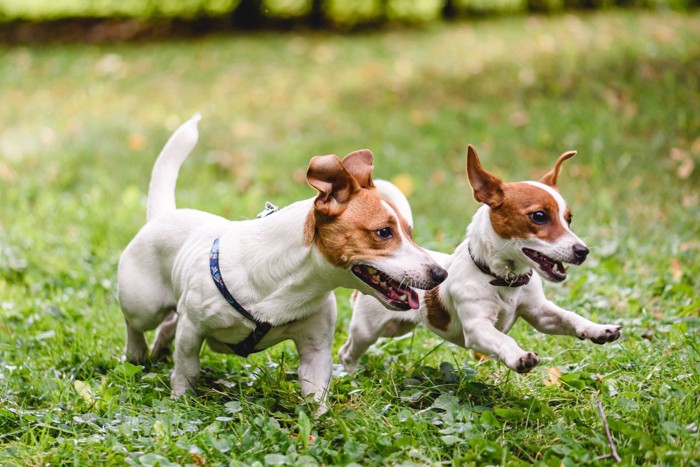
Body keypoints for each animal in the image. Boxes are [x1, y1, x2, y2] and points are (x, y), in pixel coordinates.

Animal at [117, 114, 446, 410]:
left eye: (409, 231)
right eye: (384, 232)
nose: (441, 274)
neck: (294, 284)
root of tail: (164, 214)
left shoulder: (315, 350)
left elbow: (316, 396)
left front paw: (318, 423)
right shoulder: (193, 328)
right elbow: (187, 369)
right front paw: (180, 400)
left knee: (168, 323)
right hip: (143, 305)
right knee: (137, 323)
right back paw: (137, 352)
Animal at [342, 146, 620, 376]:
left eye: (569, 219)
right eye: (539, 216)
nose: (583, 251)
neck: (504, 280)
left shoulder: (540, 313)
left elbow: (570, 317)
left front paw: (598, 329)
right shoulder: (477, 329)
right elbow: (503, 340)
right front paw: (519, 356)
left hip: (398, 327)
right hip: (367, 329)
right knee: (347, 352)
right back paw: (350, 376)